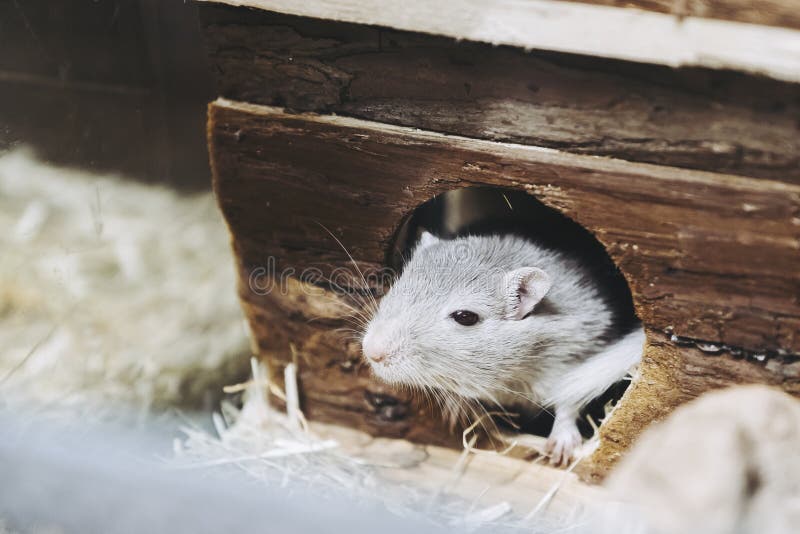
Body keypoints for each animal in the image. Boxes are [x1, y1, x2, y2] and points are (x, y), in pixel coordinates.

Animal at [361, 231, 644, 465]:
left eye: (465, 317)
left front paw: (560, 448)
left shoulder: (578, 354)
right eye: (397, 286)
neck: (509, 373)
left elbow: (568, 404)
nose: (372, 352)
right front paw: (457, 408)